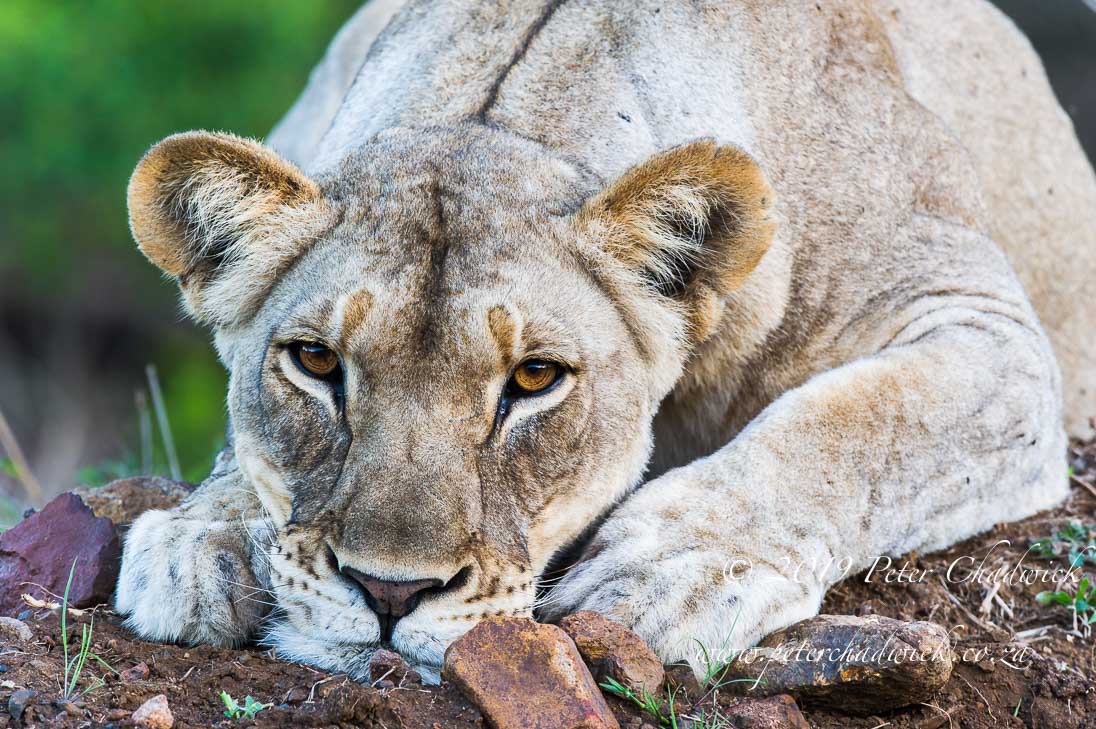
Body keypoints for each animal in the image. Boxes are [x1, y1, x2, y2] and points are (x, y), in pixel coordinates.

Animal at [115, 0, 1096, 683]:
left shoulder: (982, 323)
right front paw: (204, 534)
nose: (390, 592)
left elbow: (851, 425)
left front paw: (670, 571)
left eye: (534, 378)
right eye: (316, 362)